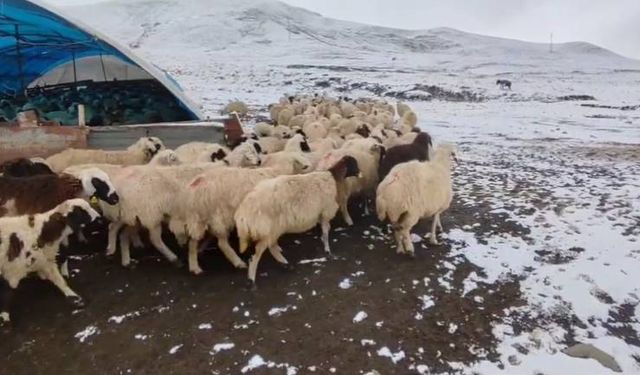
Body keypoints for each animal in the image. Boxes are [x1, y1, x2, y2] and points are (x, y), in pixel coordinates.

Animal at [235, 155, 362, 284]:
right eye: (354, 163)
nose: (359, 173)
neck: (334, 178)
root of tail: (243, 214)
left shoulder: (321, 214)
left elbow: (324, 230)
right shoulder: (326, 211)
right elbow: (326, 232)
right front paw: (327, 250)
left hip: (272, 230)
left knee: (271, 246)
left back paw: (284, 262)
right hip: (268, 229)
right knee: (256, 254)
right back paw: (252, 278)